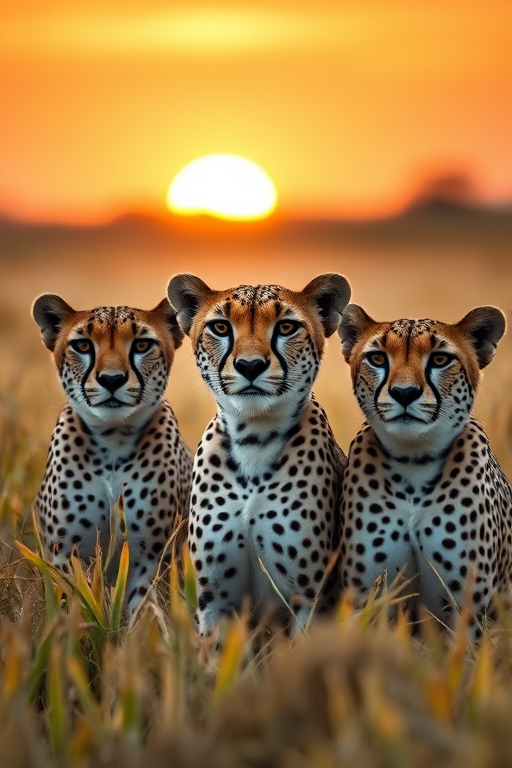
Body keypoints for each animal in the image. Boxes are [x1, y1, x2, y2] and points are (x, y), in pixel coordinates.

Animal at [32, 293, 192, 615]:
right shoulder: (65, 553)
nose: (111, 379)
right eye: (82, 346)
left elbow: (141, 613)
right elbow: (77, 609)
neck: (113, 440)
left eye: (142, 345)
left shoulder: (149, 556)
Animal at [167, 272, 351, 637]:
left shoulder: (310, 600)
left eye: (286, 327)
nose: (250, 366)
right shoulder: (214, 600)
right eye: (220, 327)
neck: (254, 437)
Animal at [338, 302, 511, 636]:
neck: (413, 464)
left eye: (440, 359)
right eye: (377, 358)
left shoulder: (466, 610)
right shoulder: (364, 598)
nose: (404, 393)